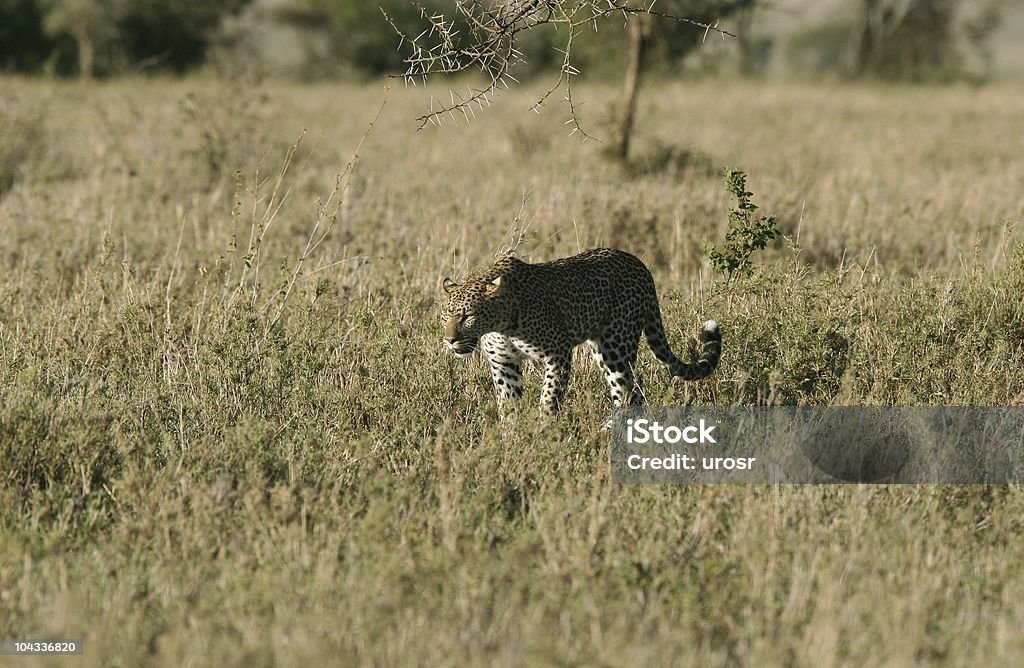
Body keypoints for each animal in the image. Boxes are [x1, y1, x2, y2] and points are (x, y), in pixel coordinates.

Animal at [440, 246, 720, 409]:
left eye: (467, 316)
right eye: (445, 317)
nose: (449, 340)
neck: (502, 323)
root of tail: (641, 265)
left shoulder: (558, 352)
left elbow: (549, 395)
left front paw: (545, 429)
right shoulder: (504, 363)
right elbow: (509, 407)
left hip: (616, 347)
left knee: (628, 392)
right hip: (602, 347)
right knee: (635, 392)